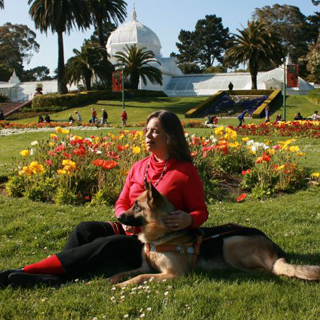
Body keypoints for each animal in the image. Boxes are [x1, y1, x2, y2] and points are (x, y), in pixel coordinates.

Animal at [109, 182, 320, 288]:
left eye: (137, 206)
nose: (118, 217)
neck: (163, 235)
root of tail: (275, 248)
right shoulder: (145, 266)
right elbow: (127, 272)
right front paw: (111, 279)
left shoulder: (174, 274)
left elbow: (141, 277)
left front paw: (123, 285)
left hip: (230, 242)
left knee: (267, 271)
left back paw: (233, 272)